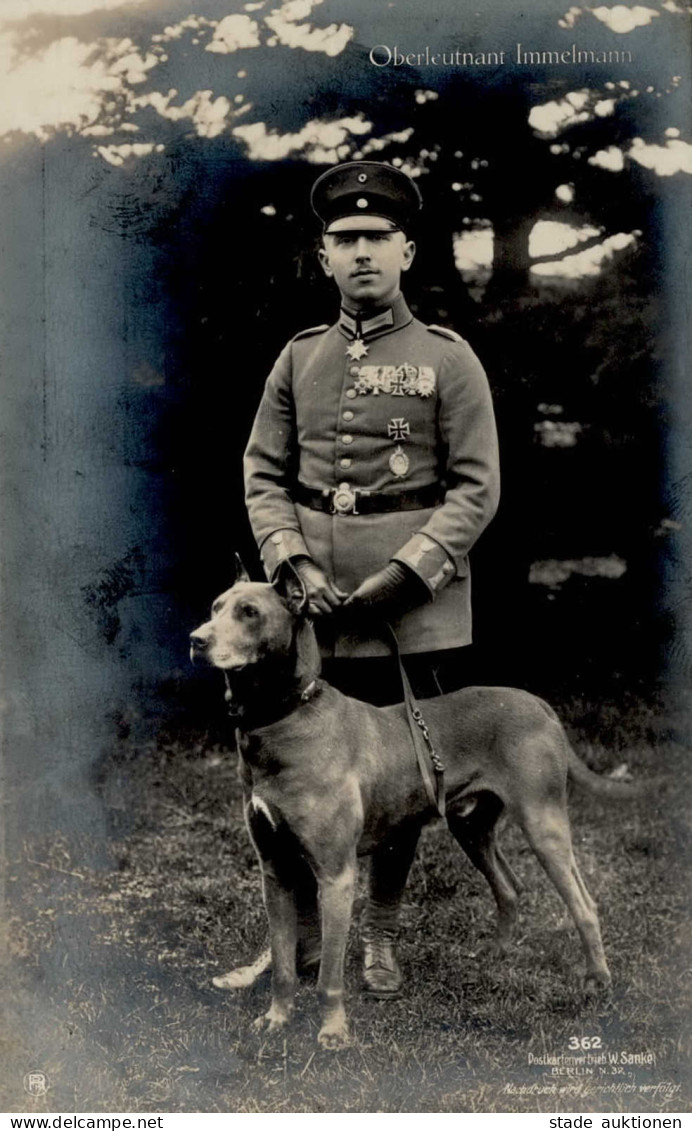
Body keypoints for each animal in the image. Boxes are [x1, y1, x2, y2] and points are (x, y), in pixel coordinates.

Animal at [191, 574, 637, 1049]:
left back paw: (597, 980)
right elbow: (283, 964)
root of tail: (539, 704)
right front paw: (276, 1018)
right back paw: (496, 954)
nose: (196, 640)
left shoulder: (336, 875)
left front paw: (333, 1030)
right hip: (471, 826)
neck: (285, 717)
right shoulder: (275, 871)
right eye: (216, 607)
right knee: (510, 887)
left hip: (542, 822)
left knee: (584, 904)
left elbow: (329, 976)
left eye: (250, 613)